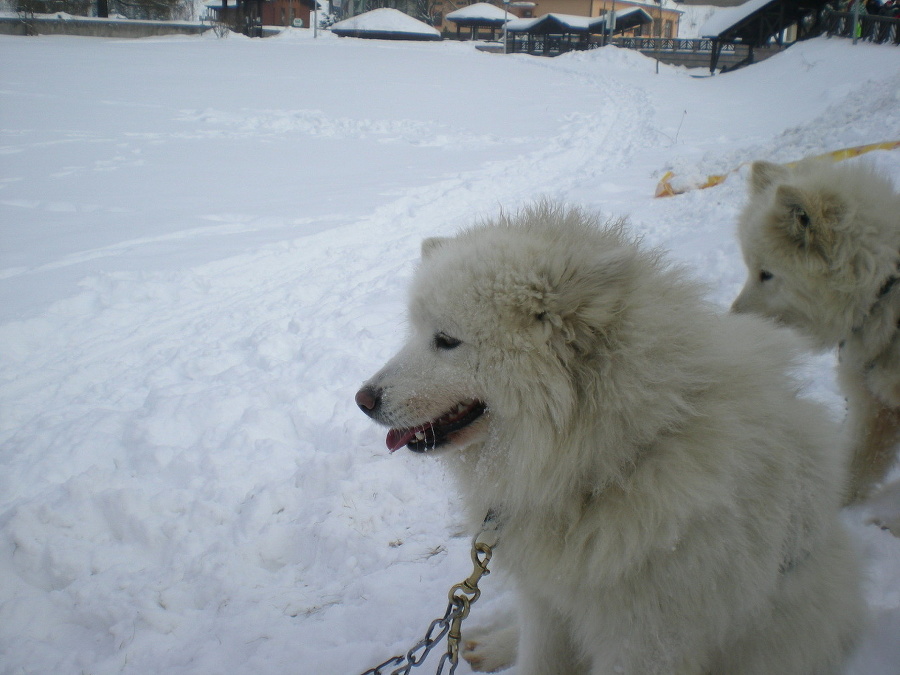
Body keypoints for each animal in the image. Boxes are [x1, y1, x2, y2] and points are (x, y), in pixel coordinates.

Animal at [356, 203, 864, 675]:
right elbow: (540, 656)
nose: (363, 399)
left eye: (446, 340)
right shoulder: (549, 603)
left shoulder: (645, 640)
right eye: (416, 332)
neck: (610, 463)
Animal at [732, 161, 900, 504]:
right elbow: (851, 467)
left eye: (766, 274)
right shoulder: (874, 409)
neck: (881, 293)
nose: (731, 318)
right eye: (750, 268)